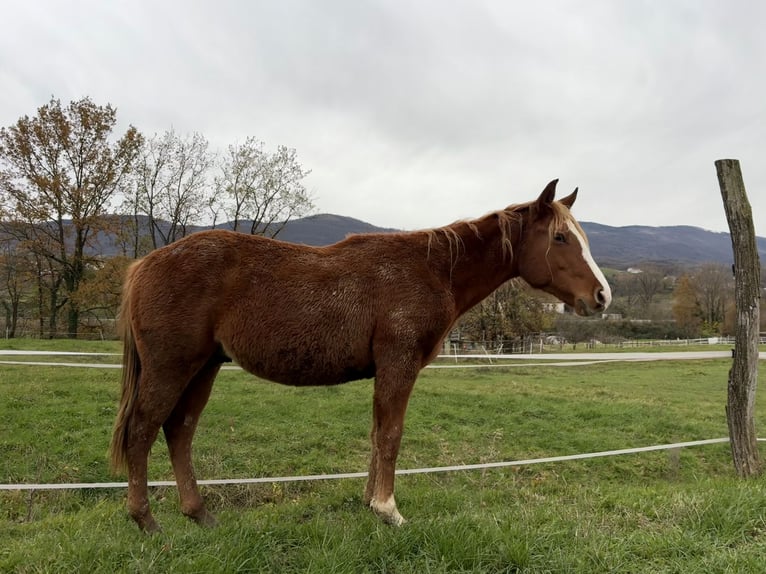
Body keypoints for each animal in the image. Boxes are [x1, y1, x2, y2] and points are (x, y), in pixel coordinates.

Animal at [110, 179, 611, 532]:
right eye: (561, 238)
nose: (602, 296)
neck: (432, 269)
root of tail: (145, 264)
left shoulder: (385, 372)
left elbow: (375, 435)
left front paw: (370, 503)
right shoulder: (398, 365)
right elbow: (390, 436)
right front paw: (389, 510)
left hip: (204, 368)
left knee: (179, 431)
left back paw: (199, 514)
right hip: (172, 367)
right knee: (142, 430)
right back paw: (145, 520)